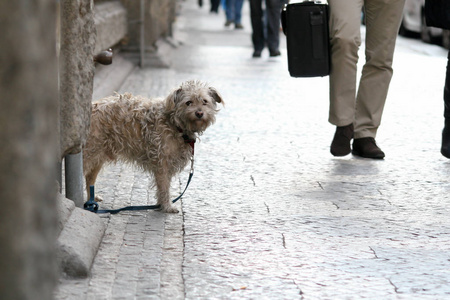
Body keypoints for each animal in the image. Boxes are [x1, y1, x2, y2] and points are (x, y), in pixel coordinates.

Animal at [82, 79, 223, 213]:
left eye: (204, 101)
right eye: (188, 102)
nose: (199, 113)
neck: (175, 124)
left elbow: (163, 187)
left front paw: (161, 204)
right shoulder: (162, 163)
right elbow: (164, 187)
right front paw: (167, 206)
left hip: (98, 157)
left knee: (90, 178)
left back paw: (92, 200)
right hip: (89, 155)